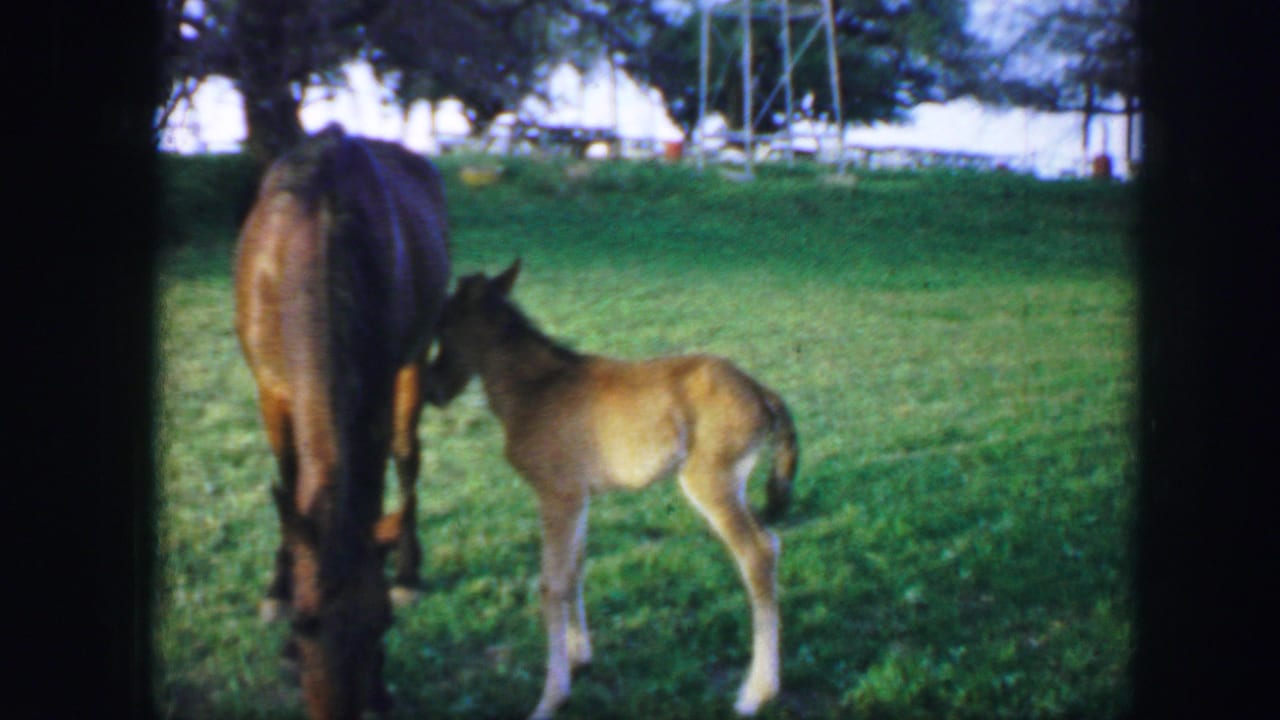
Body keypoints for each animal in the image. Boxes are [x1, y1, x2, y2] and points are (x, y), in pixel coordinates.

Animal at [233, 124, 450, 719]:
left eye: (381, 625)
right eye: (305, 627)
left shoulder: (374, 390)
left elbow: (374, 487)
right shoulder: (271, 390)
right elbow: (288, 481)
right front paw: (277, 590)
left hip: (414, 356)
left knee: (408, 455)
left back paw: (409, 570)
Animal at [422, 260, 798, 719]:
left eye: (443, 325)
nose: (433, 390)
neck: (534, 386)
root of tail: (762, 393)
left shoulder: (557, 495)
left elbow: (551, 584)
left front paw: (551, 698)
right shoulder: (579, 498)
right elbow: (575, 569)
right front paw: (579, 658)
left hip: (711, 483)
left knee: (758, 552)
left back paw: (756, 692)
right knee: (769, 544)